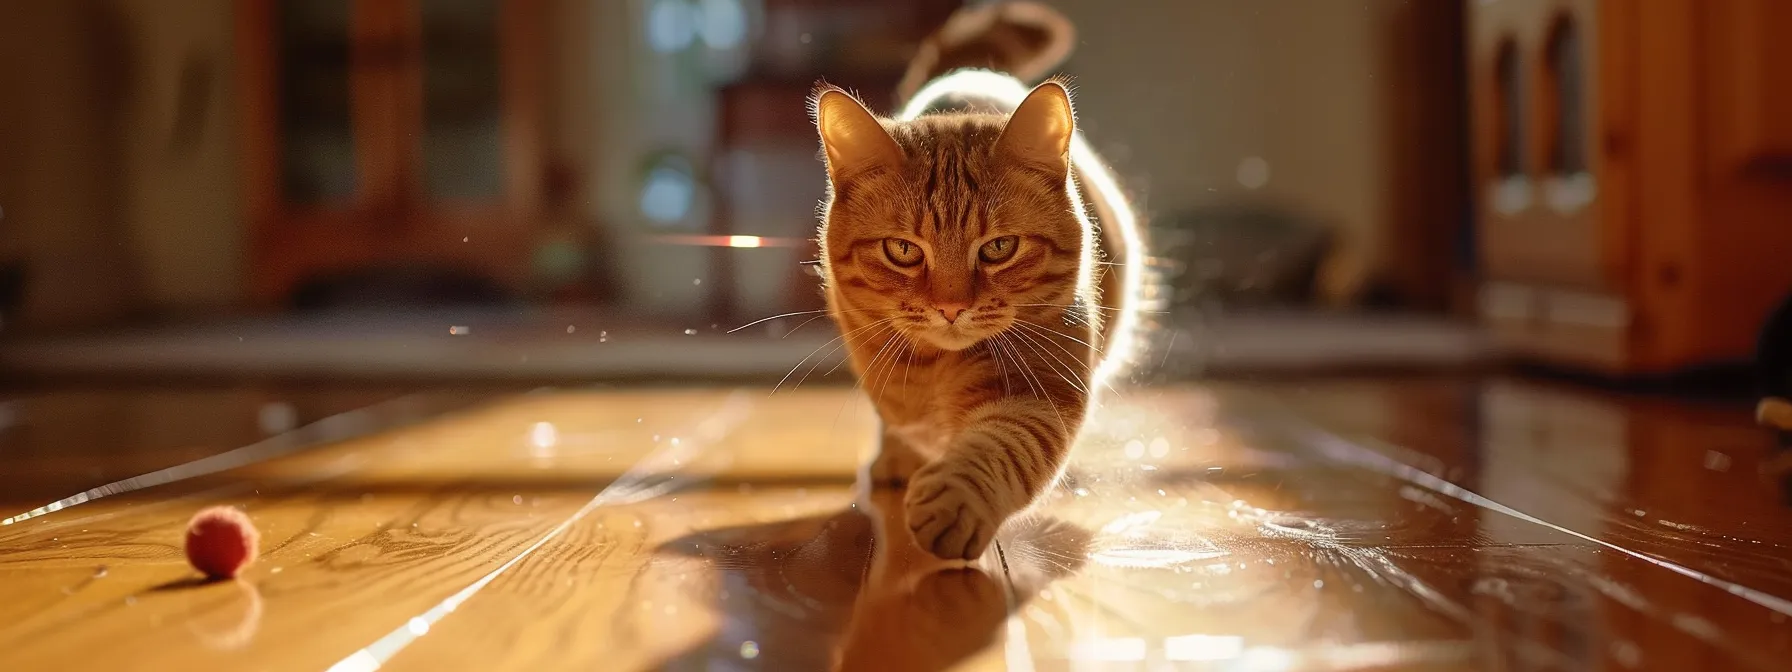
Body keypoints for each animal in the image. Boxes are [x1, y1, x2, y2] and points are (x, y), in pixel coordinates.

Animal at [817, 27, 1146, 559]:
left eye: (998, 248)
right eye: (903, 250)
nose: (951, 308)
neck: (933, 372)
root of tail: (968, 72)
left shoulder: (1038, 387)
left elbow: (1003, 445)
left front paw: (955, 499)